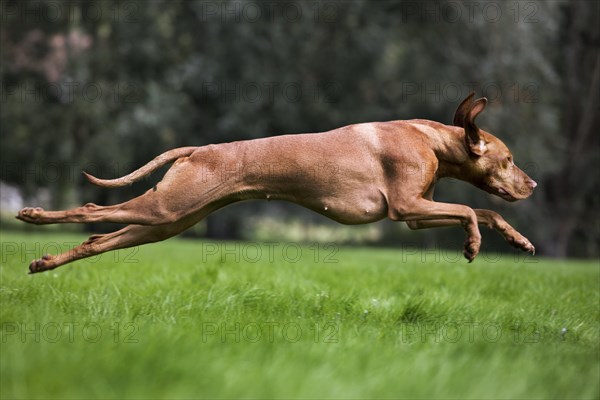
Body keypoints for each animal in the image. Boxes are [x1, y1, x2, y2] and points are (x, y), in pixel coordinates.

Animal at [17, 93, 536, 274]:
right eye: (509, 159)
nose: (532, 184)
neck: (431, 140)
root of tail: (197, 150)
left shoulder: (415, 215)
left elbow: (487, 210)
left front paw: (517, 239)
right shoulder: (407, 207)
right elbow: (470, 211)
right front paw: (472, 244)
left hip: (167, 221)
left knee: (98, 240)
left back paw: (45, 262)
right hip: (164, 210)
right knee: (90, 211)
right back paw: (33, 215)